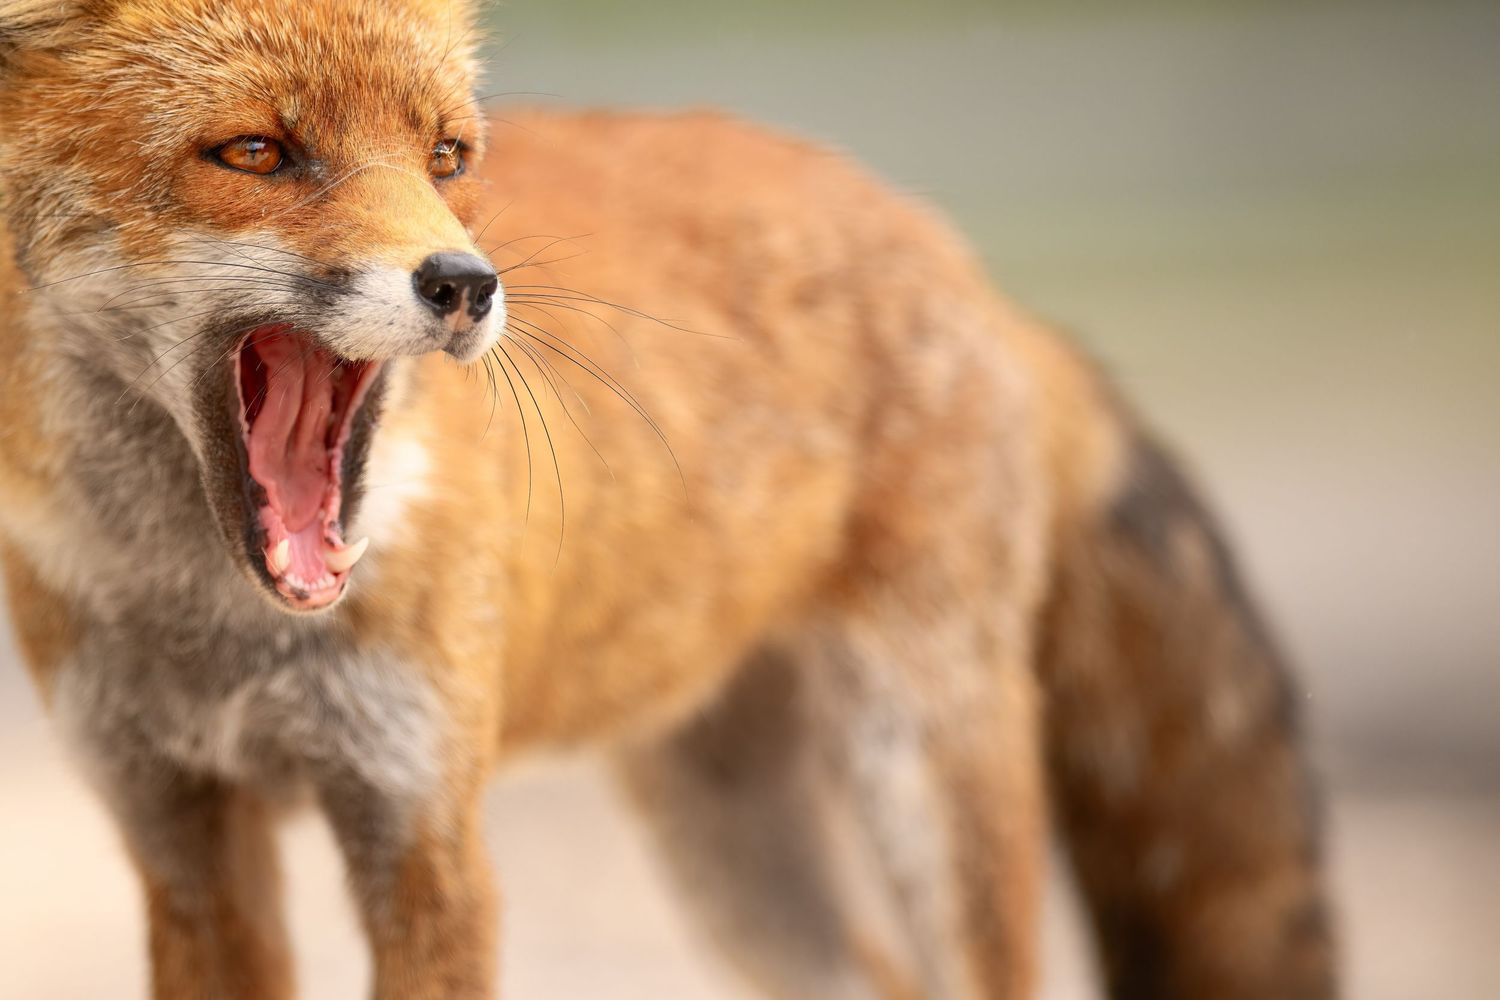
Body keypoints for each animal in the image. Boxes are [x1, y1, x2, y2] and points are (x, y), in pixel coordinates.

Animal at [0, 1, 1336, 998]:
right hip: (738, 860)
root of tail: (957, 254)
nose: (466, 284)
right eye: (256, 153)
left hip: (920, 772)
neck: (218, 623)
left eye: (446, 159)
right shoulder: (182, 838)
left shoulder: (423, 825)